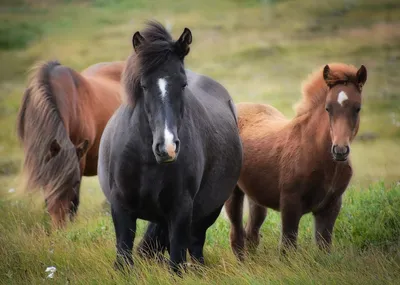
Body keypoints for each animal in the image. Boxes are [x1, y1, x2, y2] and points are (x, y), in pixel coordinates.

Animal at [98, 21, 242, 272]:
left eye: (183, 84)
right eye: (143, 85)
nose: (167, 148)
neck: (146, 160)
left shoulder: (181, 210)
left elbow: (176, 261)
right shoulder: (120, 207)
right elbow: (124, 257)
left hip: (207, 212)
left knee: (195, 246)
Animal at [223, 62, 368, 258]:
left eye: (357, 108)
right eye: (328, 108)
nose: (340, 150)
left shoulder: (330, 206)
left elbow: (324, 247)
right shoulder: (290, 204)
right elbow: (287, 246)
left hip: (256, 196)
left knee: (251, 233)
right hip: (233, 192)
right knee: (236, 235)